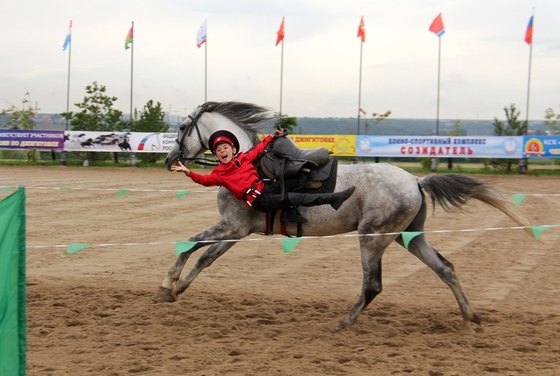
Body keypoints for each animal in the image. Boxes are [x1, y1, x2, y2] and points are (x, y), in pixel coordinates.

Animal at [156, 101, 528, 330]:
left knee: (373, 285)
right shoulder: (238, 231)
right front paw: (178, 289)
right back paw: (469, 319)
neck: (245, 162)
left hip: (373, 238)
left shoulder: (231, 227)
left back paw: (342, 323)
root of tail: (415, 181)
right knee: (445, 268)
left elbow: (189, 245)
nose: (170, 159)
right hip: (408, 237)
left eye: (183, 126)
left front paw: (165, 285)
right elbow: (204, 258)